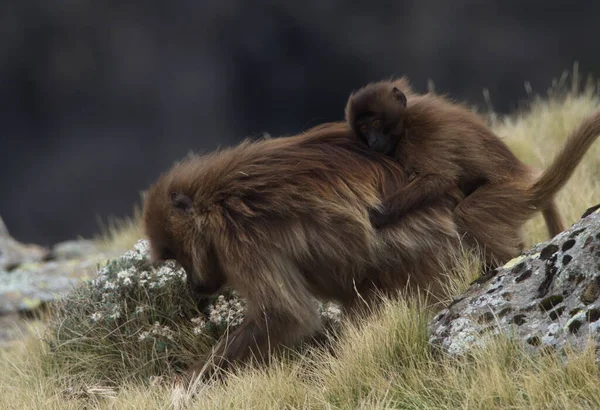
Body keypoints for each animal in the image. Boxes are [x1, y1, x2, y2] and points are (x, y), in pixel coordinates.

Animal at [344, 77, 600, 268]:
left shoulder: (420, 133)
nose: (373, 141)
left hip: (507, 194)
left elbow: (438, 179)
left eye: (376, 123)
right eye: (364, 128)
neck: (405, 119)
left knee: (468, 214)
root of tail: (528, 185)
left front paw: (378, 215)